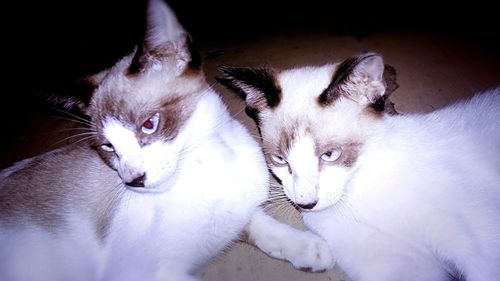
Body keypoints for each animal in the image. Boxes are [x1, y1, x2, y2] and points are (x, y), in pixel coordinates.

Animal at [1, 0, 336, 280]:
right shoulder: (147, 273)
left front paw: (307, 247)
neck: (208, 168)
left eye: (149, 124)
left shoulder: (236, 213)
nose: (133, 179)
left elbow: (256, 222)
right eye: (108, 147)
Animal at [218, 52, 500, 280]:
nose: (306, 204)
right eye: (280, 160)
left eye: (330, 155)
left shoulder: (481, 253)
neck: (356, 194)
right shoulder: (399, 267)